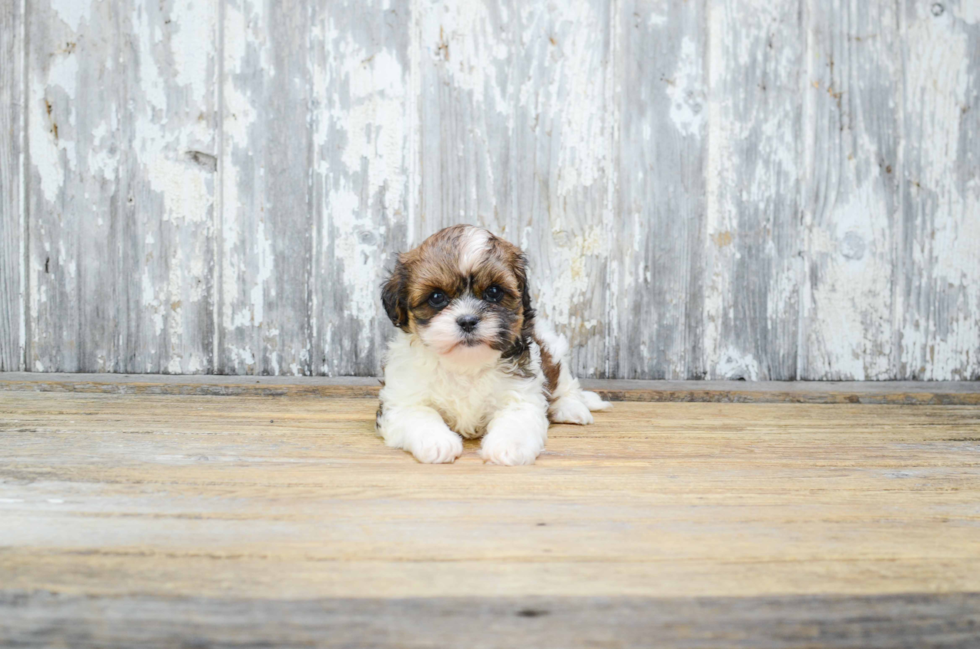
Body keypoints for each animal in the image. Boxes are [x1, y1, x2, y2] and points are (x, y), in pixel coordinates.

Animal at [374, 225, 604, 464]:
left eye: (493, 292)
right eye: (436, 297)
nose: (467, 320)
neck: (465, 364)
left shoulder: (521, 393)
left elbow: (516, 419)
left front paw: (509, 446)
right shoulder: (401, 400)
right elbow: (419, 414)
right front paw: (437, 442)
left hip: (552, 345)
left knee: (565, 382)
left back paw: (571, 407)